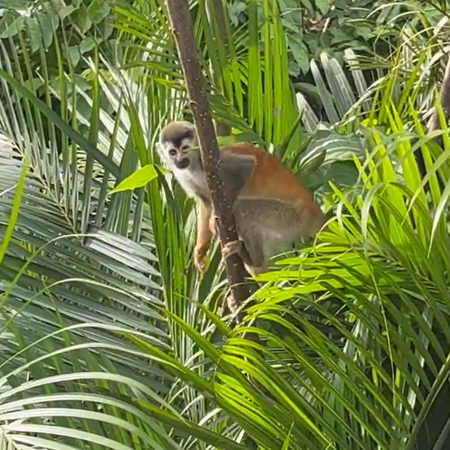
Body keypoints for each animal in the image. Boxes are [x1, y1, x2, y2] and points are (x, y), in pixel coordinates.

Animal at [156, 119, 326, 278]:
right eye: (173, 152)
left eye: (185, 149)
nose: (179, 160)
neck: (193, 164)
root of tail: (313, 210)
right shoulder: (184, 175)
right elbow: (205, 204)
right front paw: (200, 250)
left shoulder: (212, 160)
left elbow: (246, 167)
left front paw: (214, 221)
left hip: (289, 216)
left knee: (242, 210)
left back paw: (253, 259)